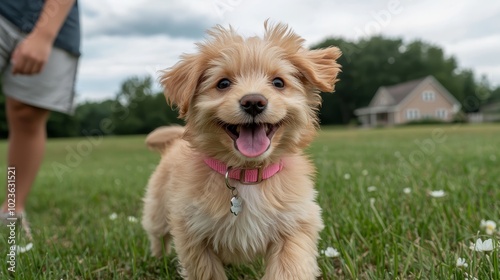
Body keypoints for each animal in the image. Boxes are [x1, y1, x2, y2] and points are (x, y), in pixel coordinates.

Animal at [143, 20, 342, 278]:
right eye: (223, 83)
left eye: (278, 82)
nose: (254, 102)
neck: (247, 174)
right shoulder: (193, 232)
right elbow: (207, 271)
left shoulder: (295, 225)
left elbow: (289, 268)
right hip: (157, 207)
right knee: (157, 234)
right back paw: (159, 259)